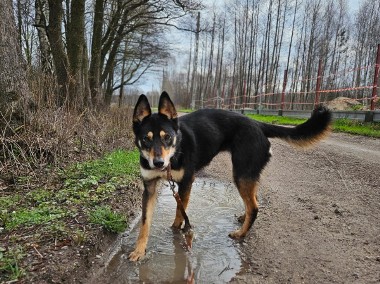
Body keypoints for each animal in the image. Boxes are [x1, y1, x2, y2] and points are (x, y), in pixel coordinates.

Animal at [129, 92, 332, 260]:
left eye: (167, 137)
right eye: (146, 139)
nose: (158, 163)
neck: (176, 150)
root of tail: (257, 123)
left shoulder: (186, 183)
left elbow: (180, 210)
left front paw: (176, 229)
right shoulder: (150, 187)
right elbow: (145, 222)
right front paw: (139, 250)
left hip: (241, 174)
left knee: (254, 207)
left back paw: (241, 233)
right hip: (248, 174)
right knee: (254, 200)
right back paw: (244, 218)